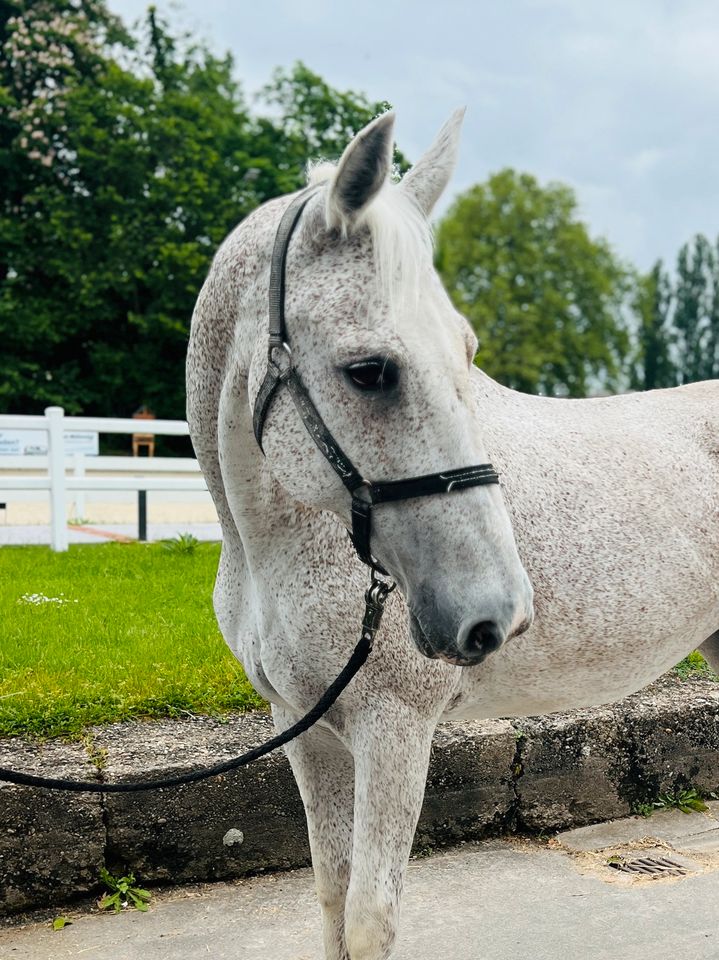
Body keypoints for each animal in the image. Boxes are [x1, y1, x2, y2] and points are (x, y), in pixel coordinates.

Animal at [187, 112, 719, 960]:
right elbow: (332, 902)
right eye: (369, 369)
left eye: (466, 352)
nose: (495, 614)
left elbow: (368, 920)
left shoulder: (394, 730)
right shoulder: (303, 730)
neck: (272, 548)